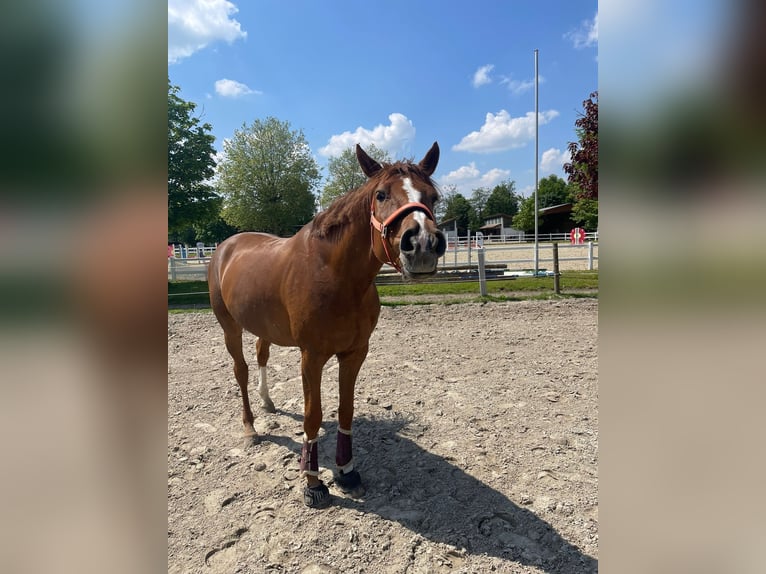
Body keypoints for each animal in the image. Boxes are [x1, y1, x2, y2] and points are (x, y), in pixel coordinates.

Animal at [208, 143, 450, 508]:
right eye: (380, 194)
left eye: (432, 197)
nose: (422, 244)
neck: (336, 277)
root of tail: (225, 247)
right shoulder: (312, 357)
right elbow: (313, 415)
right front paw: (313, 482)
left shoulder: (354, 353)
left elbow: (345, 411)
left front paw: (346, 472)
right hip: (229, 328)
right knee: (241, 371)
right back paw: (251, 428)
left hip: (263, 326)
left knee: (262, 354)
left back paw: (267, 402)